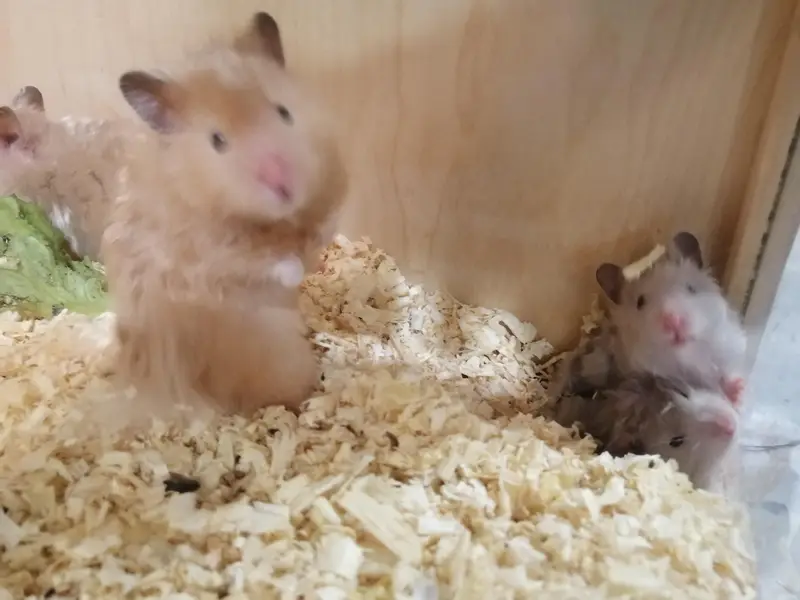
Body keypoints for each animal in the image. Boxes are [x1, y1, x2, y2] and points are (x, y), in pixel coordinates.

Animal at [102, 12, 348, 416]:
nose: (283, 184)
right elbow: (259, 261)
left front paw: (316, 245)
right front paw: (293, 266)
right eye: (218, 141)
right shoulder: (206, 255)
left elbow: (323, 228)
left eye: (283, 112)